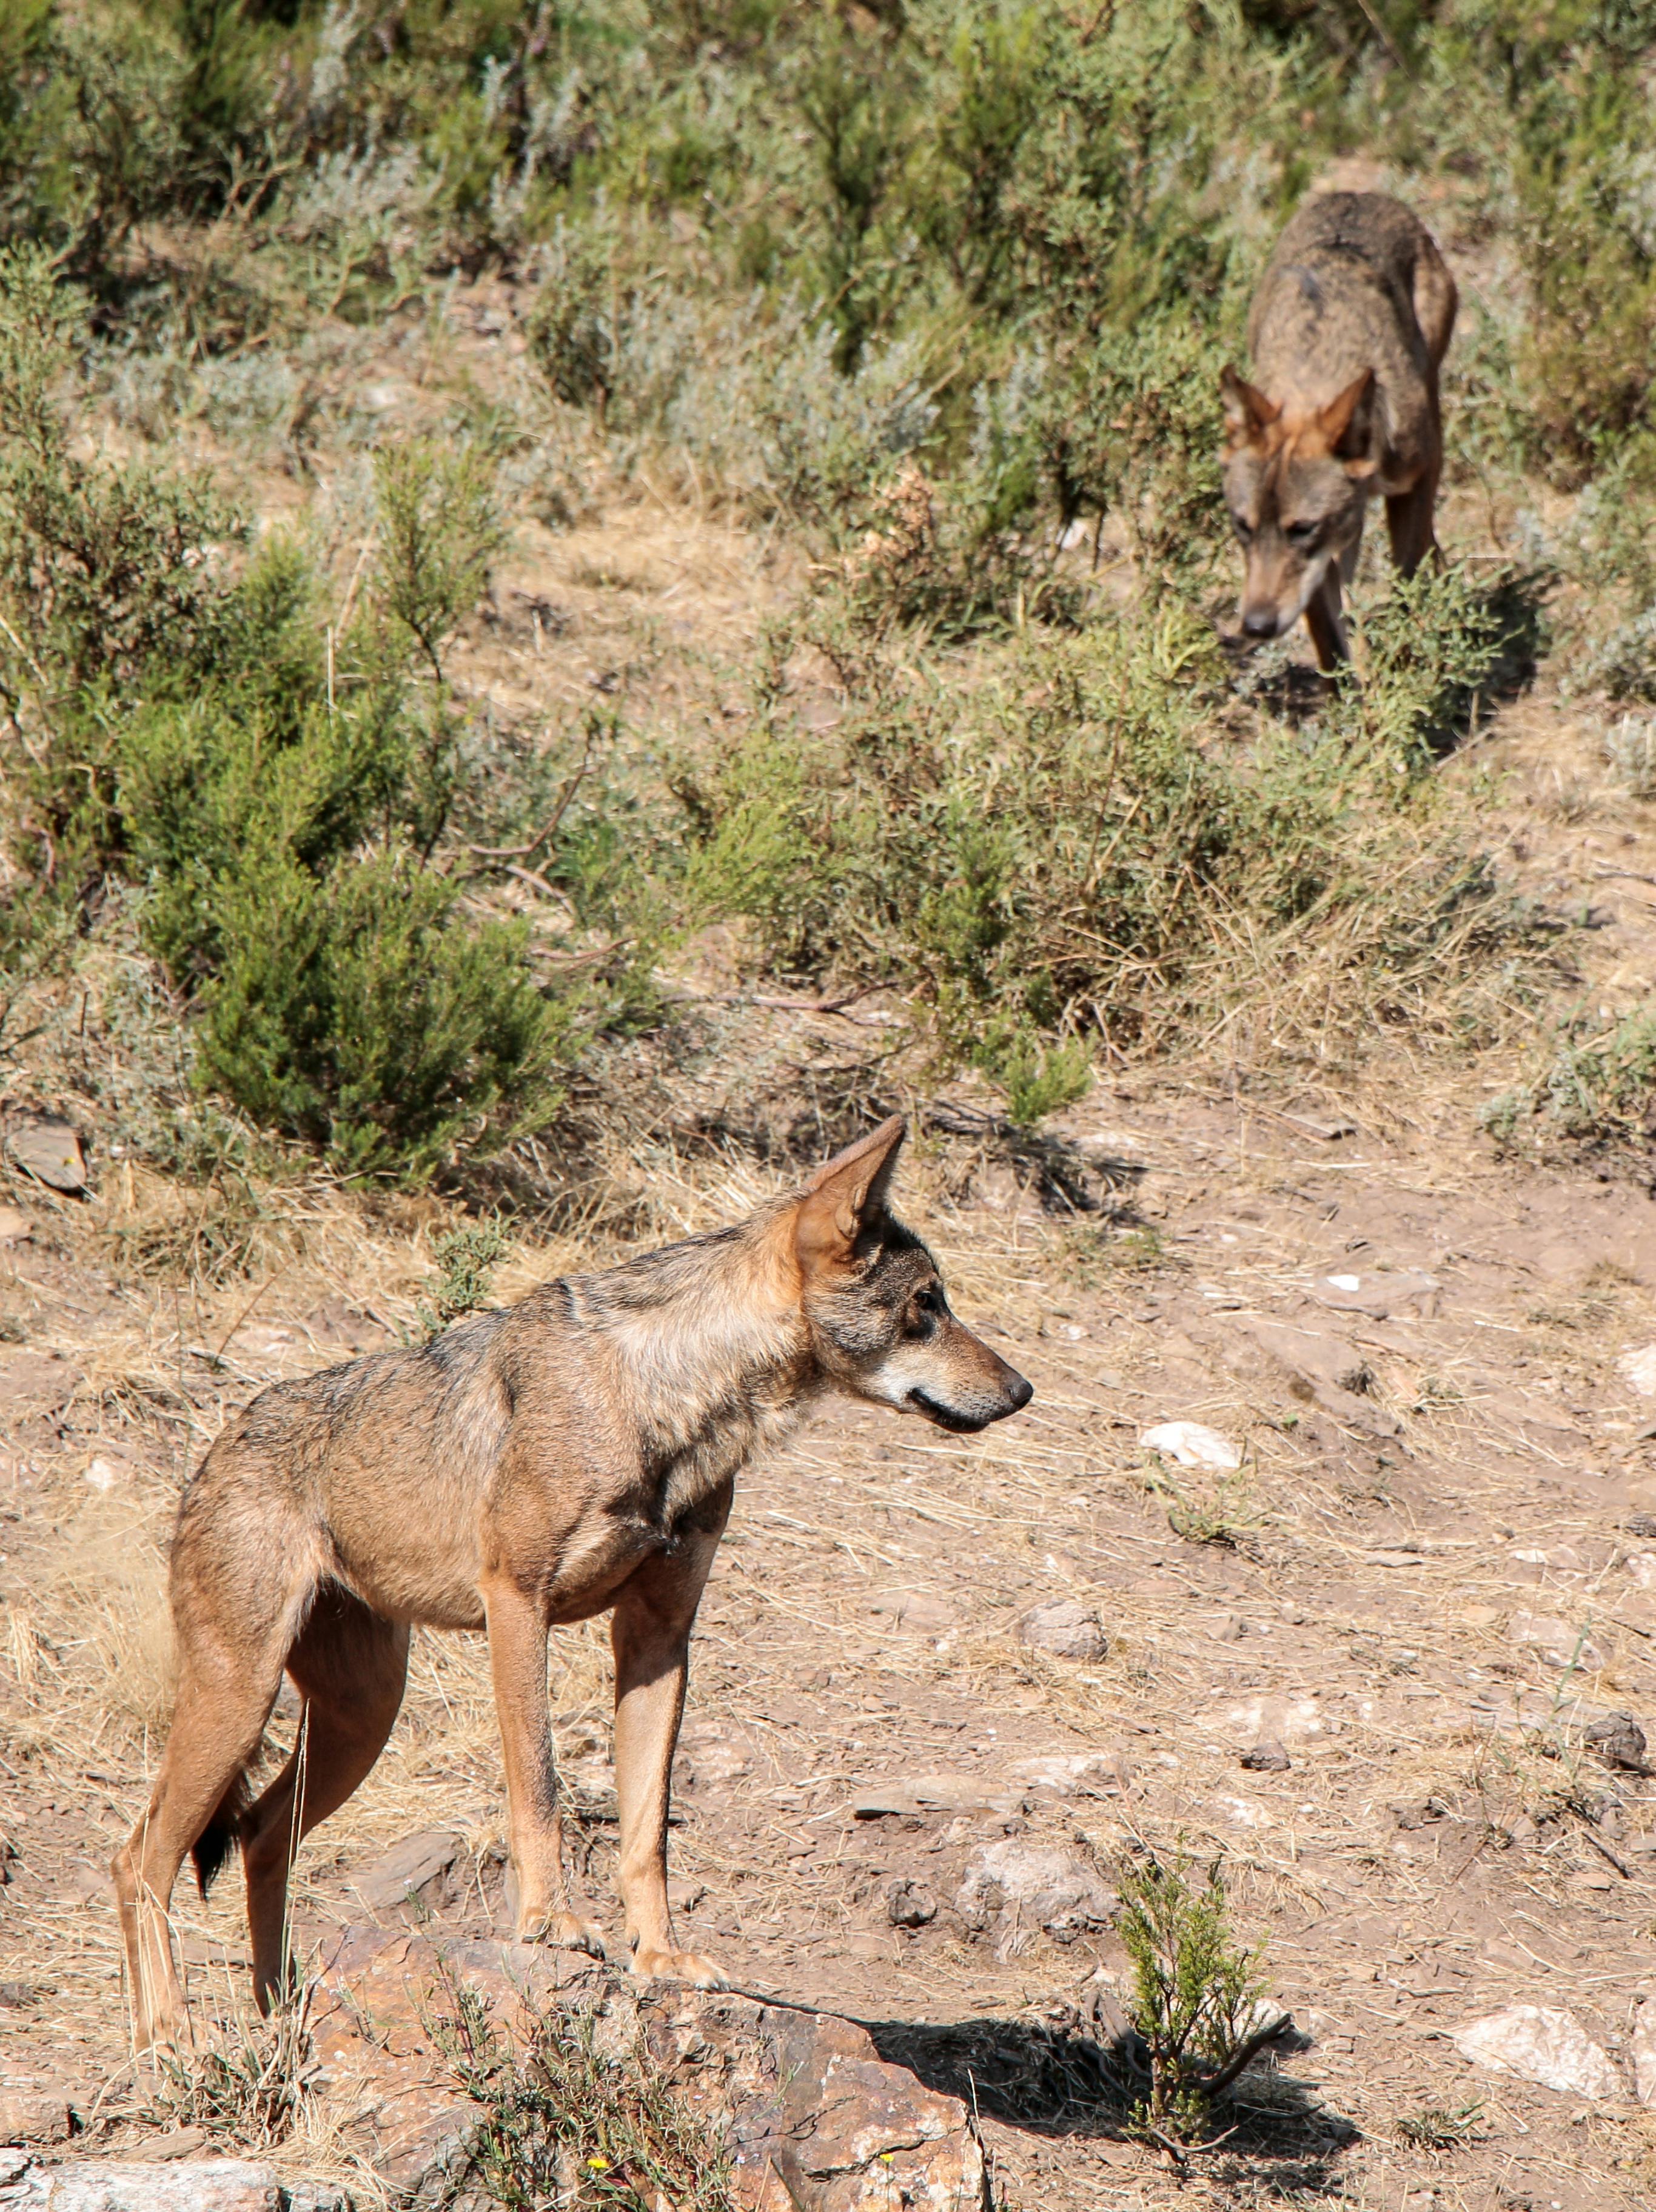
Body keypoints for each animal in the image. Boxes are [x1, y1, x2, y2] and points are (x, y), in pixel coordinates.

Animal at [110, 1124, 1025, 2053]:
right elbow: (540, 1788)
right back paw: (168, 2038)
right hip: (243, 1699)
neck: (660, 1395)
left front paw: (659, 1957)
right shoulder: (518, 1604)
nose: (1021, 1391)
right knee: (138, 1857)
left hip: (360, 1720)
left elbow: (647, 1829)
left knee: (258, 1838)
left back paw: (280, 2018)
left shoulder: (658, 1639)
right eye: (925, 1305)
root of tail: (215, 1444)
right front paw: (550, 1925)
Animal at [1212, 191, 1459, 668]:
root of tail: (1357, 196)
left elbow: (1405, 580)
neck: (1313, 372)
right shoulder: (1316, 571)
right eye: (1243, 526)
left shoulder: (1418, 478)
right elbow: (1329, 642)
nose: (1256, 627)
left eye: (1302, 529)